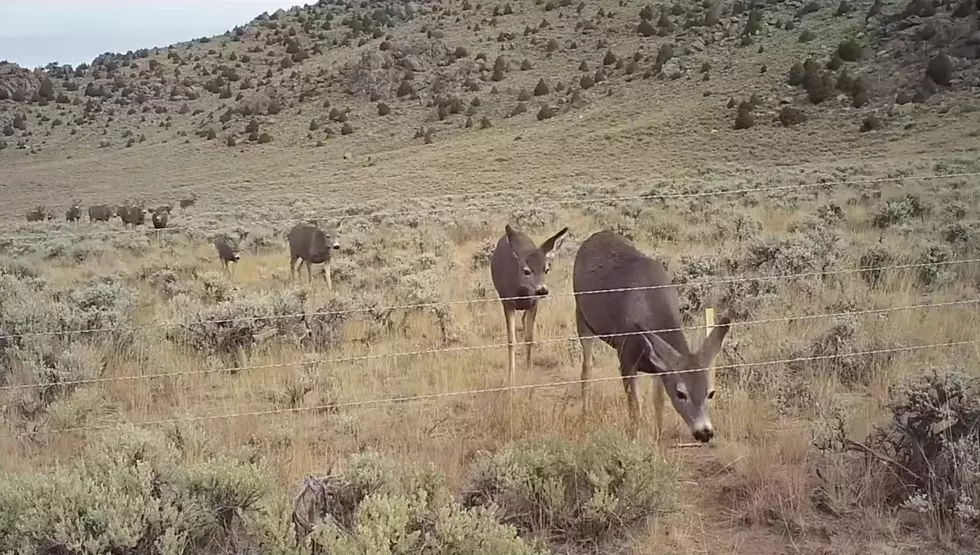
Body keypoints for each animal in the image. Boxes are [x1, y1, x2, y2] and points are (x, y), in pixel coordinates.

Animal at [488, 224, 568, 388]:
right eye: (526, 270)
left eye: (546, 269)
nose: (542, 290)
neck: (520, 293)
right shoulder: (507, 302)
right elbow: (511, 340)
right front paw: (511, 377)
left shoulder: (533, 303)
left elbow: (530, 337)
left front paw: (529, 372)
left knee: (524, 321)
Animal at [572, 229, 732, 444]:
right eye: (681, 393)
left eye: (711, 393)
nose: (705, 432)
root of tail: (593, 237)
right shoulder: (625, 357)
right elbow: (635, 405)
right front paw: (634, 438)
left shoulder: (658, 365)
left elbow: (658, 401)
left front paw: (658, 435)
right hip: (582, 317)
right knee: (586, 368)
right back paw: (585, 413)